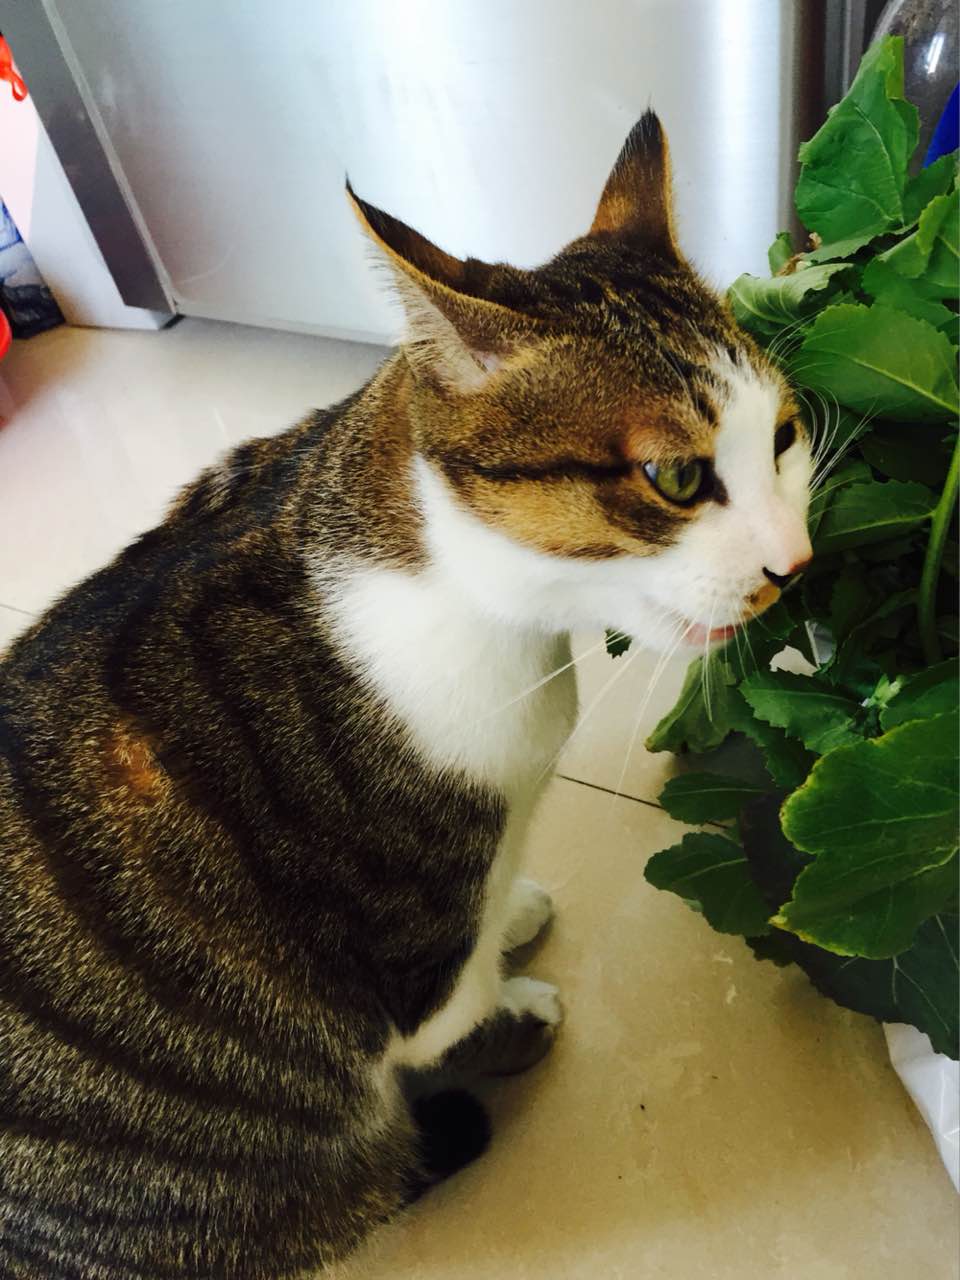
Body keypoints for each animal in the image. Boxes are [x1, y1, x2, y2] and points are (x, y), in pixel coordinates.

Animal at [0, 111, 813, 1278]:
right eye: (676, 477)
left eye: (784, 435)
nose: (797, 561)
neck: (487, 602)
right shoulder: (416, 956)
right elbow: (451, 1008)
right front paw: (513, 1008)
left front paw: (515, 914)